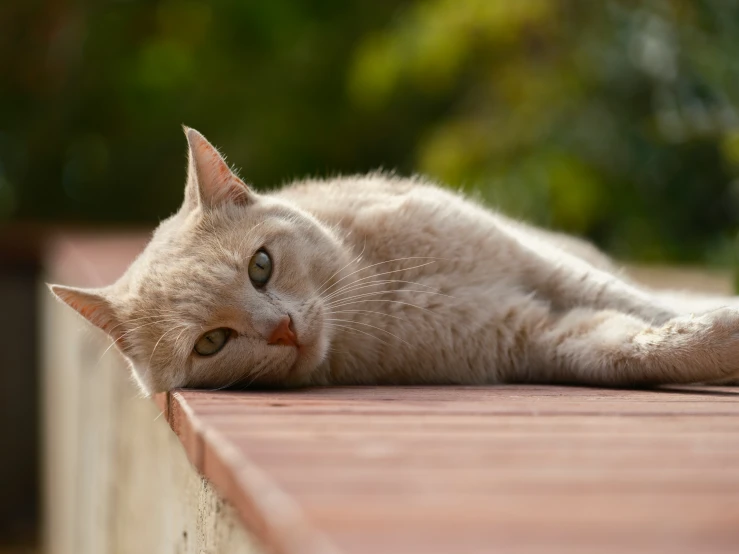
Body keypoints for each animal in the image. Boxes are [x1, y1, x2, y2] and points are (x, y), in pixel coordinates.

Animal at [49, 126, 739, 392]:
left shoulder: (538, 263)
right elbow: (635, 346)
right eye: (211, 343)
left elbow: (640, 305)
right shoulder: (538, 337)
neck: (382, 291)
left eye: (260, 266)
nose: (282, 330)